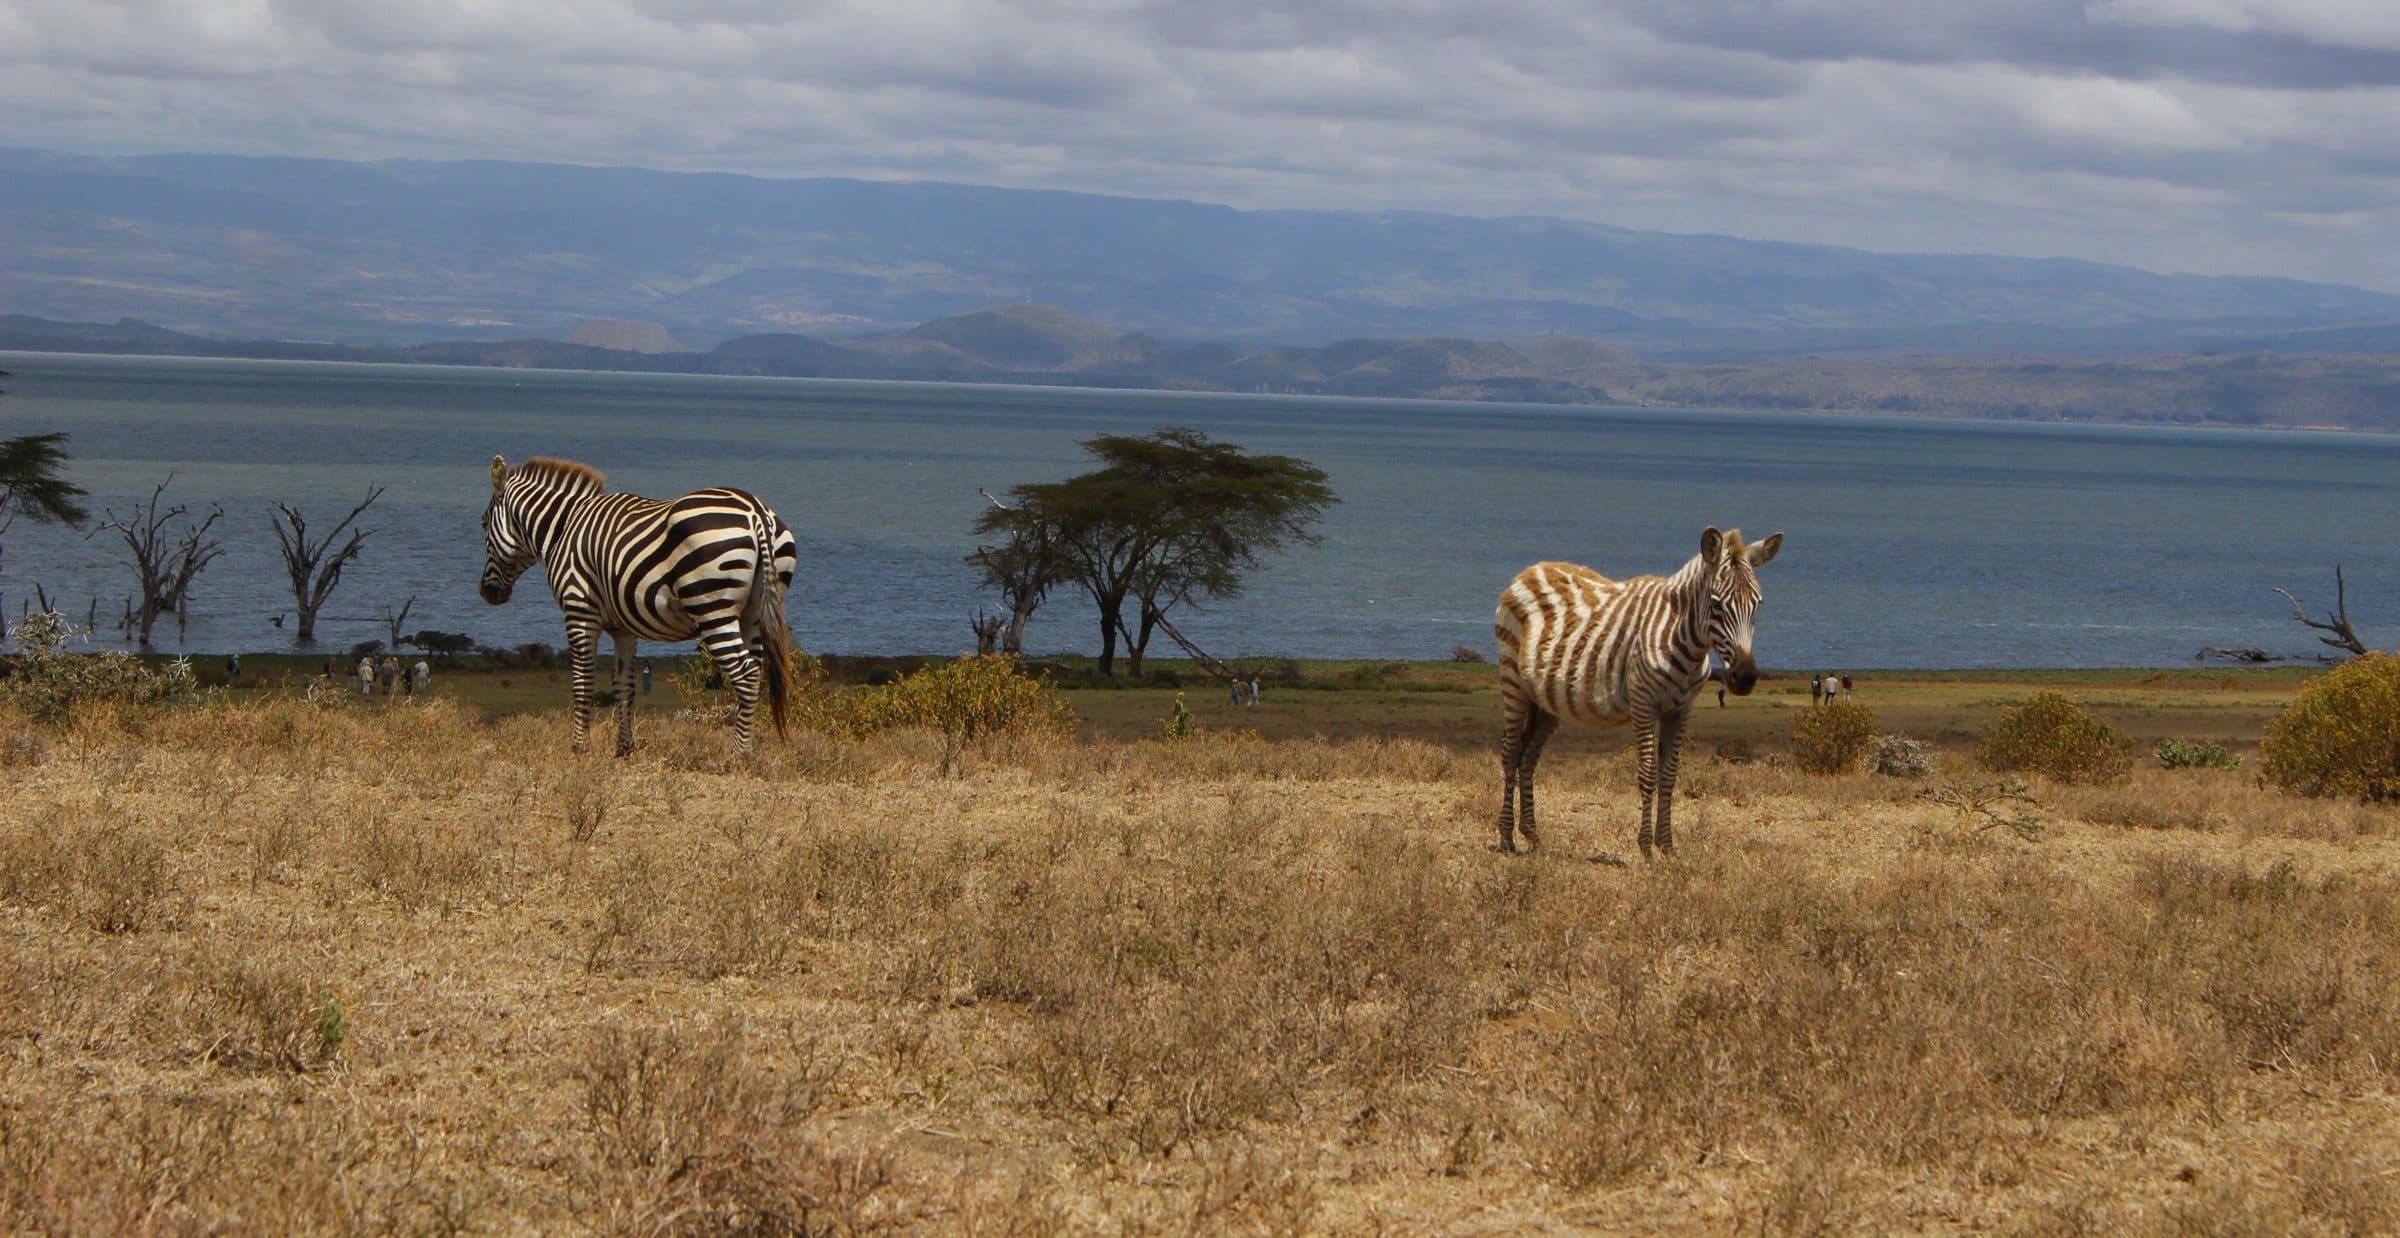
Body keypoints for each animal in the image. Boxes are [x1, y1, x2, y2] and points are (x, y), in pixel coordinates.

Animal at [478, 455, 798, 755]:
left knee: (746, 673)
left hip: (712, 607)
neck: (564, 529)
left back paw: (738, 754)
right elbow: (624, 686)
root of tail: (755, 511)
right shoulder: (624, 627)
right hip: (754, 612)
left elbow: (582, 683)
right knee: (756, 669)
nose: (486, 593)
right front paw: (624, 748)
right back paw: (748, 749)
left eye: (483, 524)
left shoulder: (579, 610)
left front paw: (580, 747)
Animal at [1493, 527, 1782, 860]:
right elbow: (1647, 773)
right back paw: (1506, 837)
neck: (1679, 637)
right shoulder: (1644, 704)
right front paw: (1646, 848)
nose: (1744, 678)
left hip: (1545, 701)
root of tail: (1531, 569)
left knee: (1528, 756)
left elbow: (1669, 775)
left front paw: (1667, 847)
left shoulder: (1680, 709)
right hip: (1513, 681)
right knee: (1510, 752)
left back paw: (1532, 835)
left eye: (1758, 605)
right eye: (1717, 605)